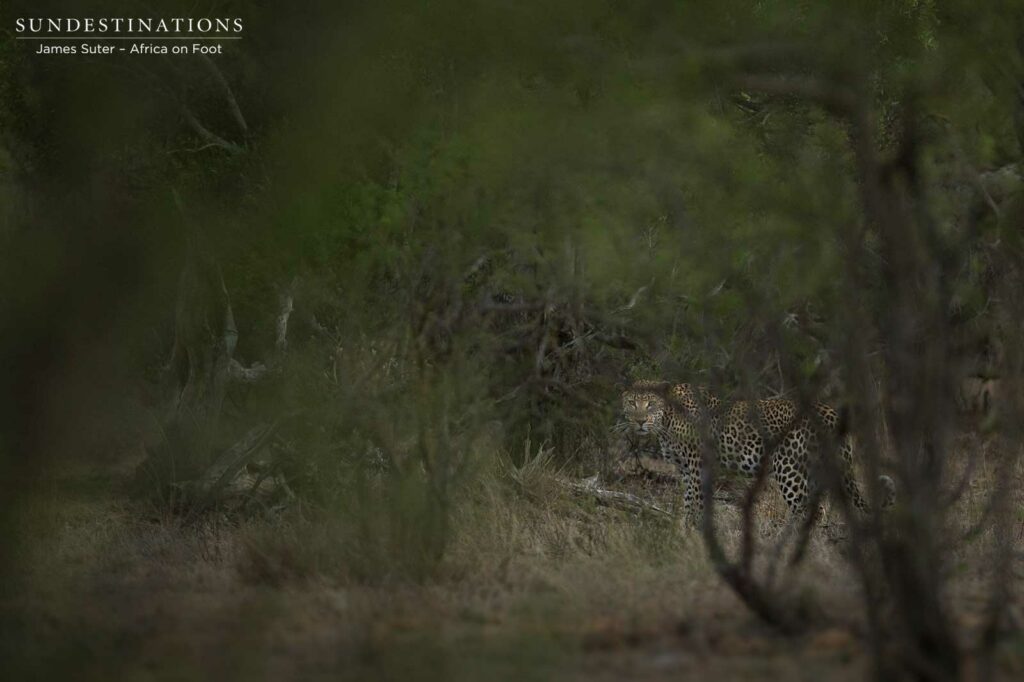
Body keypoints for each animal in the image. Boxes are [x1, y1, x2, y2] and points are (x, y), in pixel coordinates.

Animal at [618, 380, 895, 522]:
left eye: (650, 404)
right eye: (632, 403)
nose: (640, 421)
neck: (666, 420)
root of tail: (830, 412)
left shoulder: (697, 466)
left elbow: (696, 503)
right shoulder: (686, 470)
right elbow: (687, 503)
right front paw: (685, 532)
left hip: (790, 471)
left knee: (806, 511)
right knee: (818, 511)